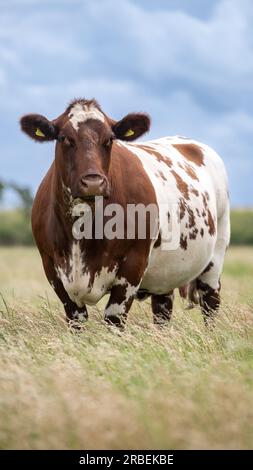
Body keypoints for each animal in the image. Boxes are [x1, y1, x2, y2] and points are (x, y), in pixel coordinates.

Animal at [19, 98, 229, 326]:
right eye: (64, 138)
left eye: (110, 139)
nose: (93, 183)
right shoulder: (53, 270)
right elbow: (76, 319)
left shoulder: (133, 266)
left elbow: (114, 319)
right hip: (166, 273)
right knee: (162, 310)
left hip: (215, 256)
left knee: (210, 304)